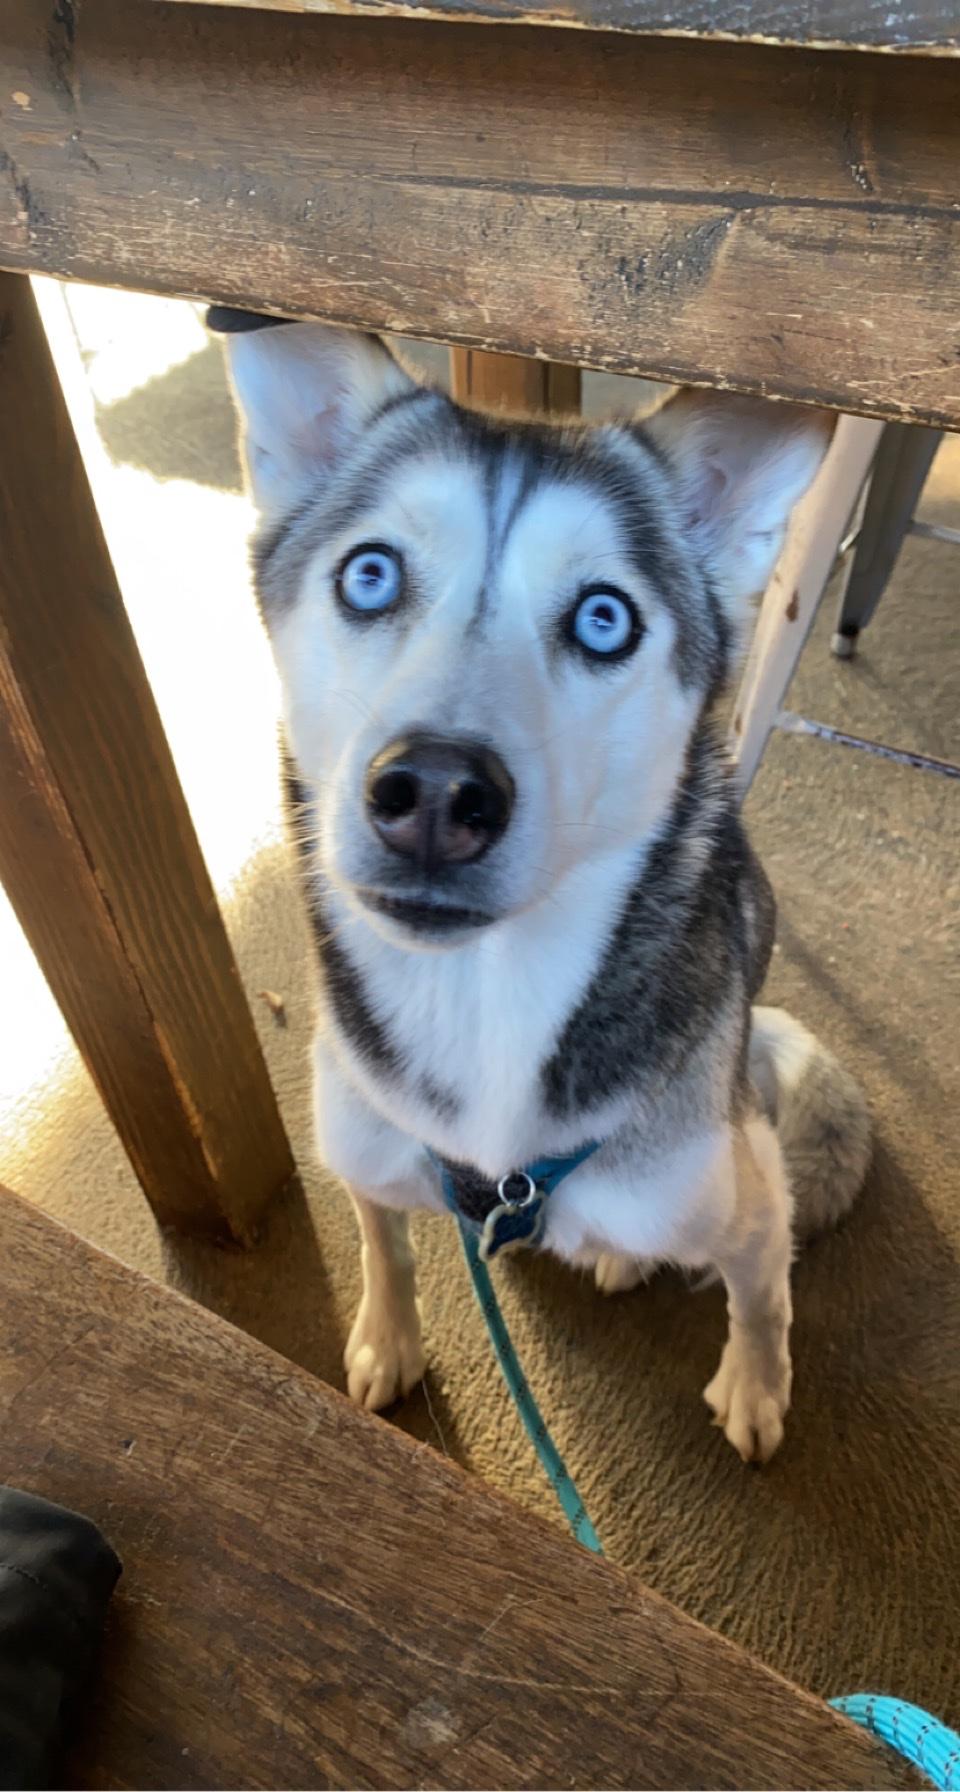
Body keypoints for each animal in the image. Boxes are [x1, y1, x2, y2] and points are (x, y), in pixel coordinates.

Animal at [215, 304, 870, 1455]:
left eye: (606, 617)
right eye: (369, 574)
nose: (436, 791)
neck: (479, 1002)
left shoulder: (746, 1196)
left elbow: (763, 1293)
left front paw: (757, 1387)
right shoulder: (365, 1148)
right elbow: (382, 1241)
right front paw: (387, 1340)